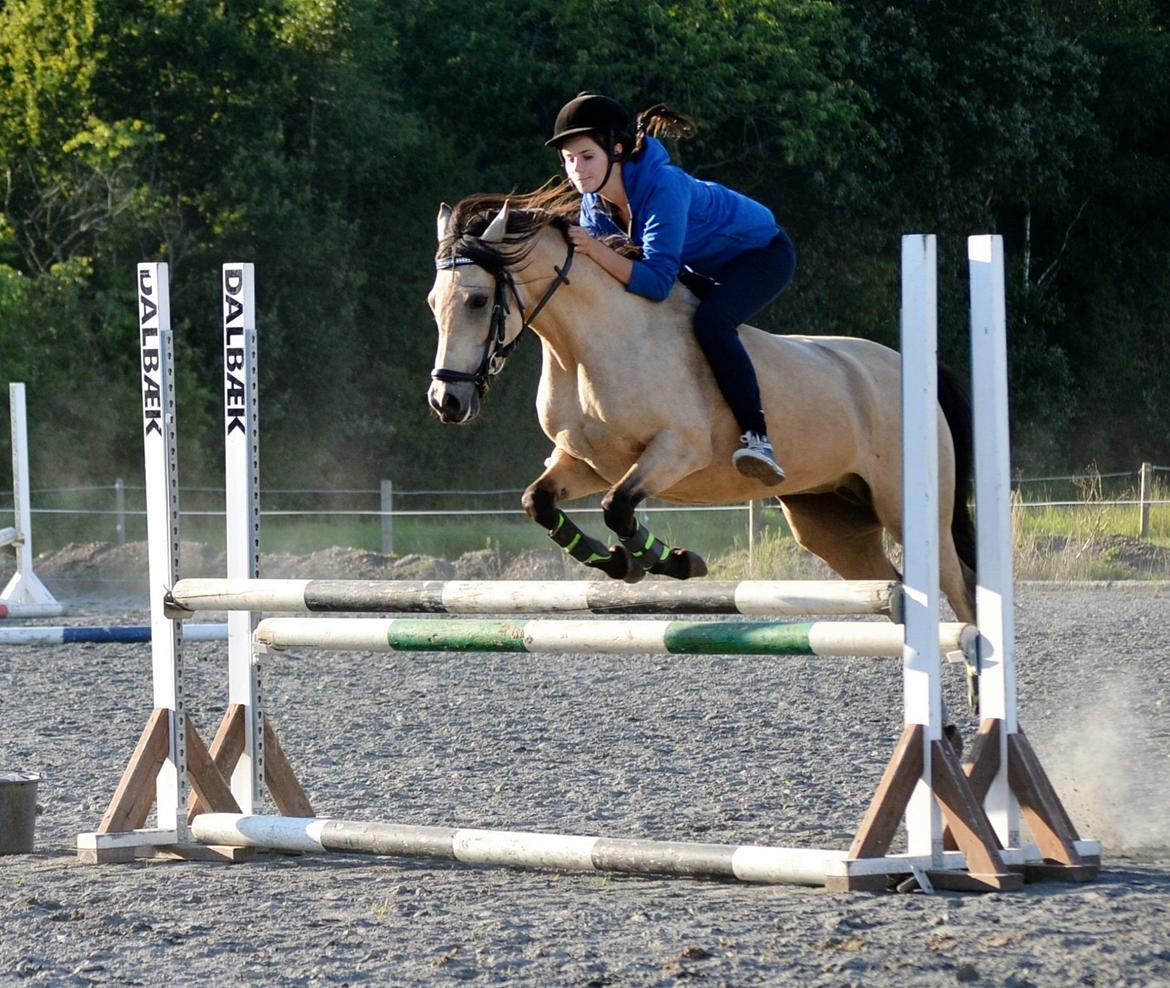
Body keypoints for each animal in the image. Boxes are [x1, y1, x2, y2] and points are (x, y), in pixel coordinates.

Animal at [426, 189, 977, 625]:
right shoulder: (588, 463)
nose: (446, 402)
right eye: (434, 302)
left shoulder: (677, 451)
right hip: (832, 524)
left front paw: (672, 561)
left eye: (477, 301)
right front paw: (621, 563)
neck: (589, 346)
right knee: (895, 586)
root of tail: (913, 369)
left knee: (961, 593)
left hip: (909, 511)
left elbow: (617, 507)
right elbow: (538, 502)